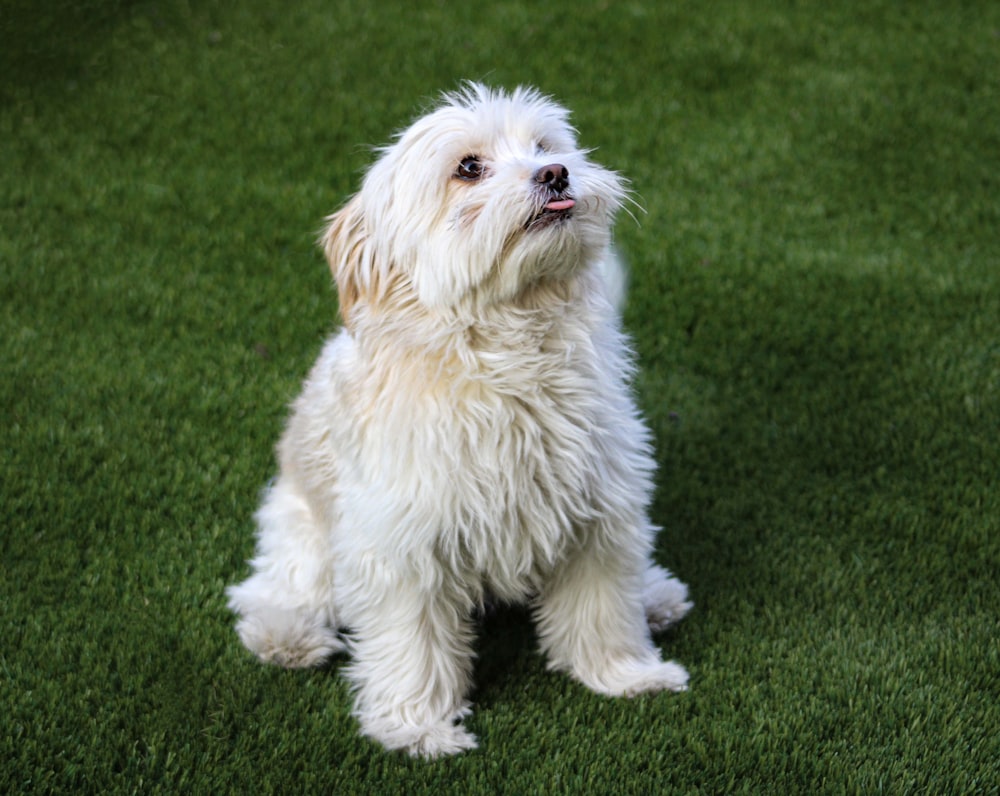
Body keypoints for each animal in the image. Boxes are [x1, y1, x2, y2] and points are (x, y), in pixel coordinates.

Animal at [227, 84, 692, 756]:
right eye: (469, 168)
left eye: (543, 146)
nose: (556, 172)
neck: (508, 351)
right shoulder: (401, 541)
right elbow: (410, 643)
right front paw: (417, 726)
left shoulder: (599, 514)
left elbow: (602, 611)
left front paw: (627, 675)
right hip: (302, 529)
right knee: (276, 584)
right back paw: (286, 634)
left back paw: (655, 595)